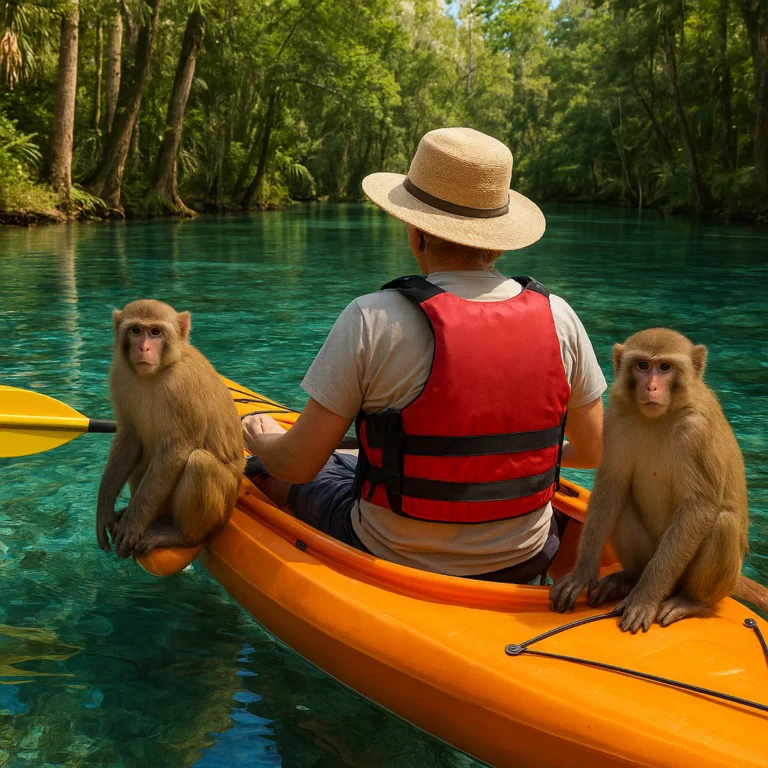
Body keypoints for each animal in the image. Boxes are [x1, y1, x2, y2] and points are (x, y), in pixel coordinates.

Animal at [96, 300, 245, 559]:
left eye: (155, 332)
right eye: (136, 331)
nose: (144, 348)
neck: (157, 372)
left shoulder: (182, 385)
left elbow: (178, 449)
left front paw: (132, 524)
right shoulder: (119, 374)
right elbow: (128, 438)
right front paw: (104, 509)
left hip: (222, 512)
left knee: (199, 464)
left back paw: (181, 535)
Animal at [550, 328, 768, 633]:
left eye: (665, 367)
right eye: (643, 365)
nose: (651, 387)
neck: (660, 417)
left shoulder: (697, 430)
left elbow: (699, 507)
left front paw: (645, 598)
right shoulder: (617, 414)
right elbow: (611, 485)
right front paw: (581, 574)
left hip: (696, 578)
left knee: (722, 523)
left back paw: (692, 601)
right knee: (622, 501)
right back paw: (628, 579)